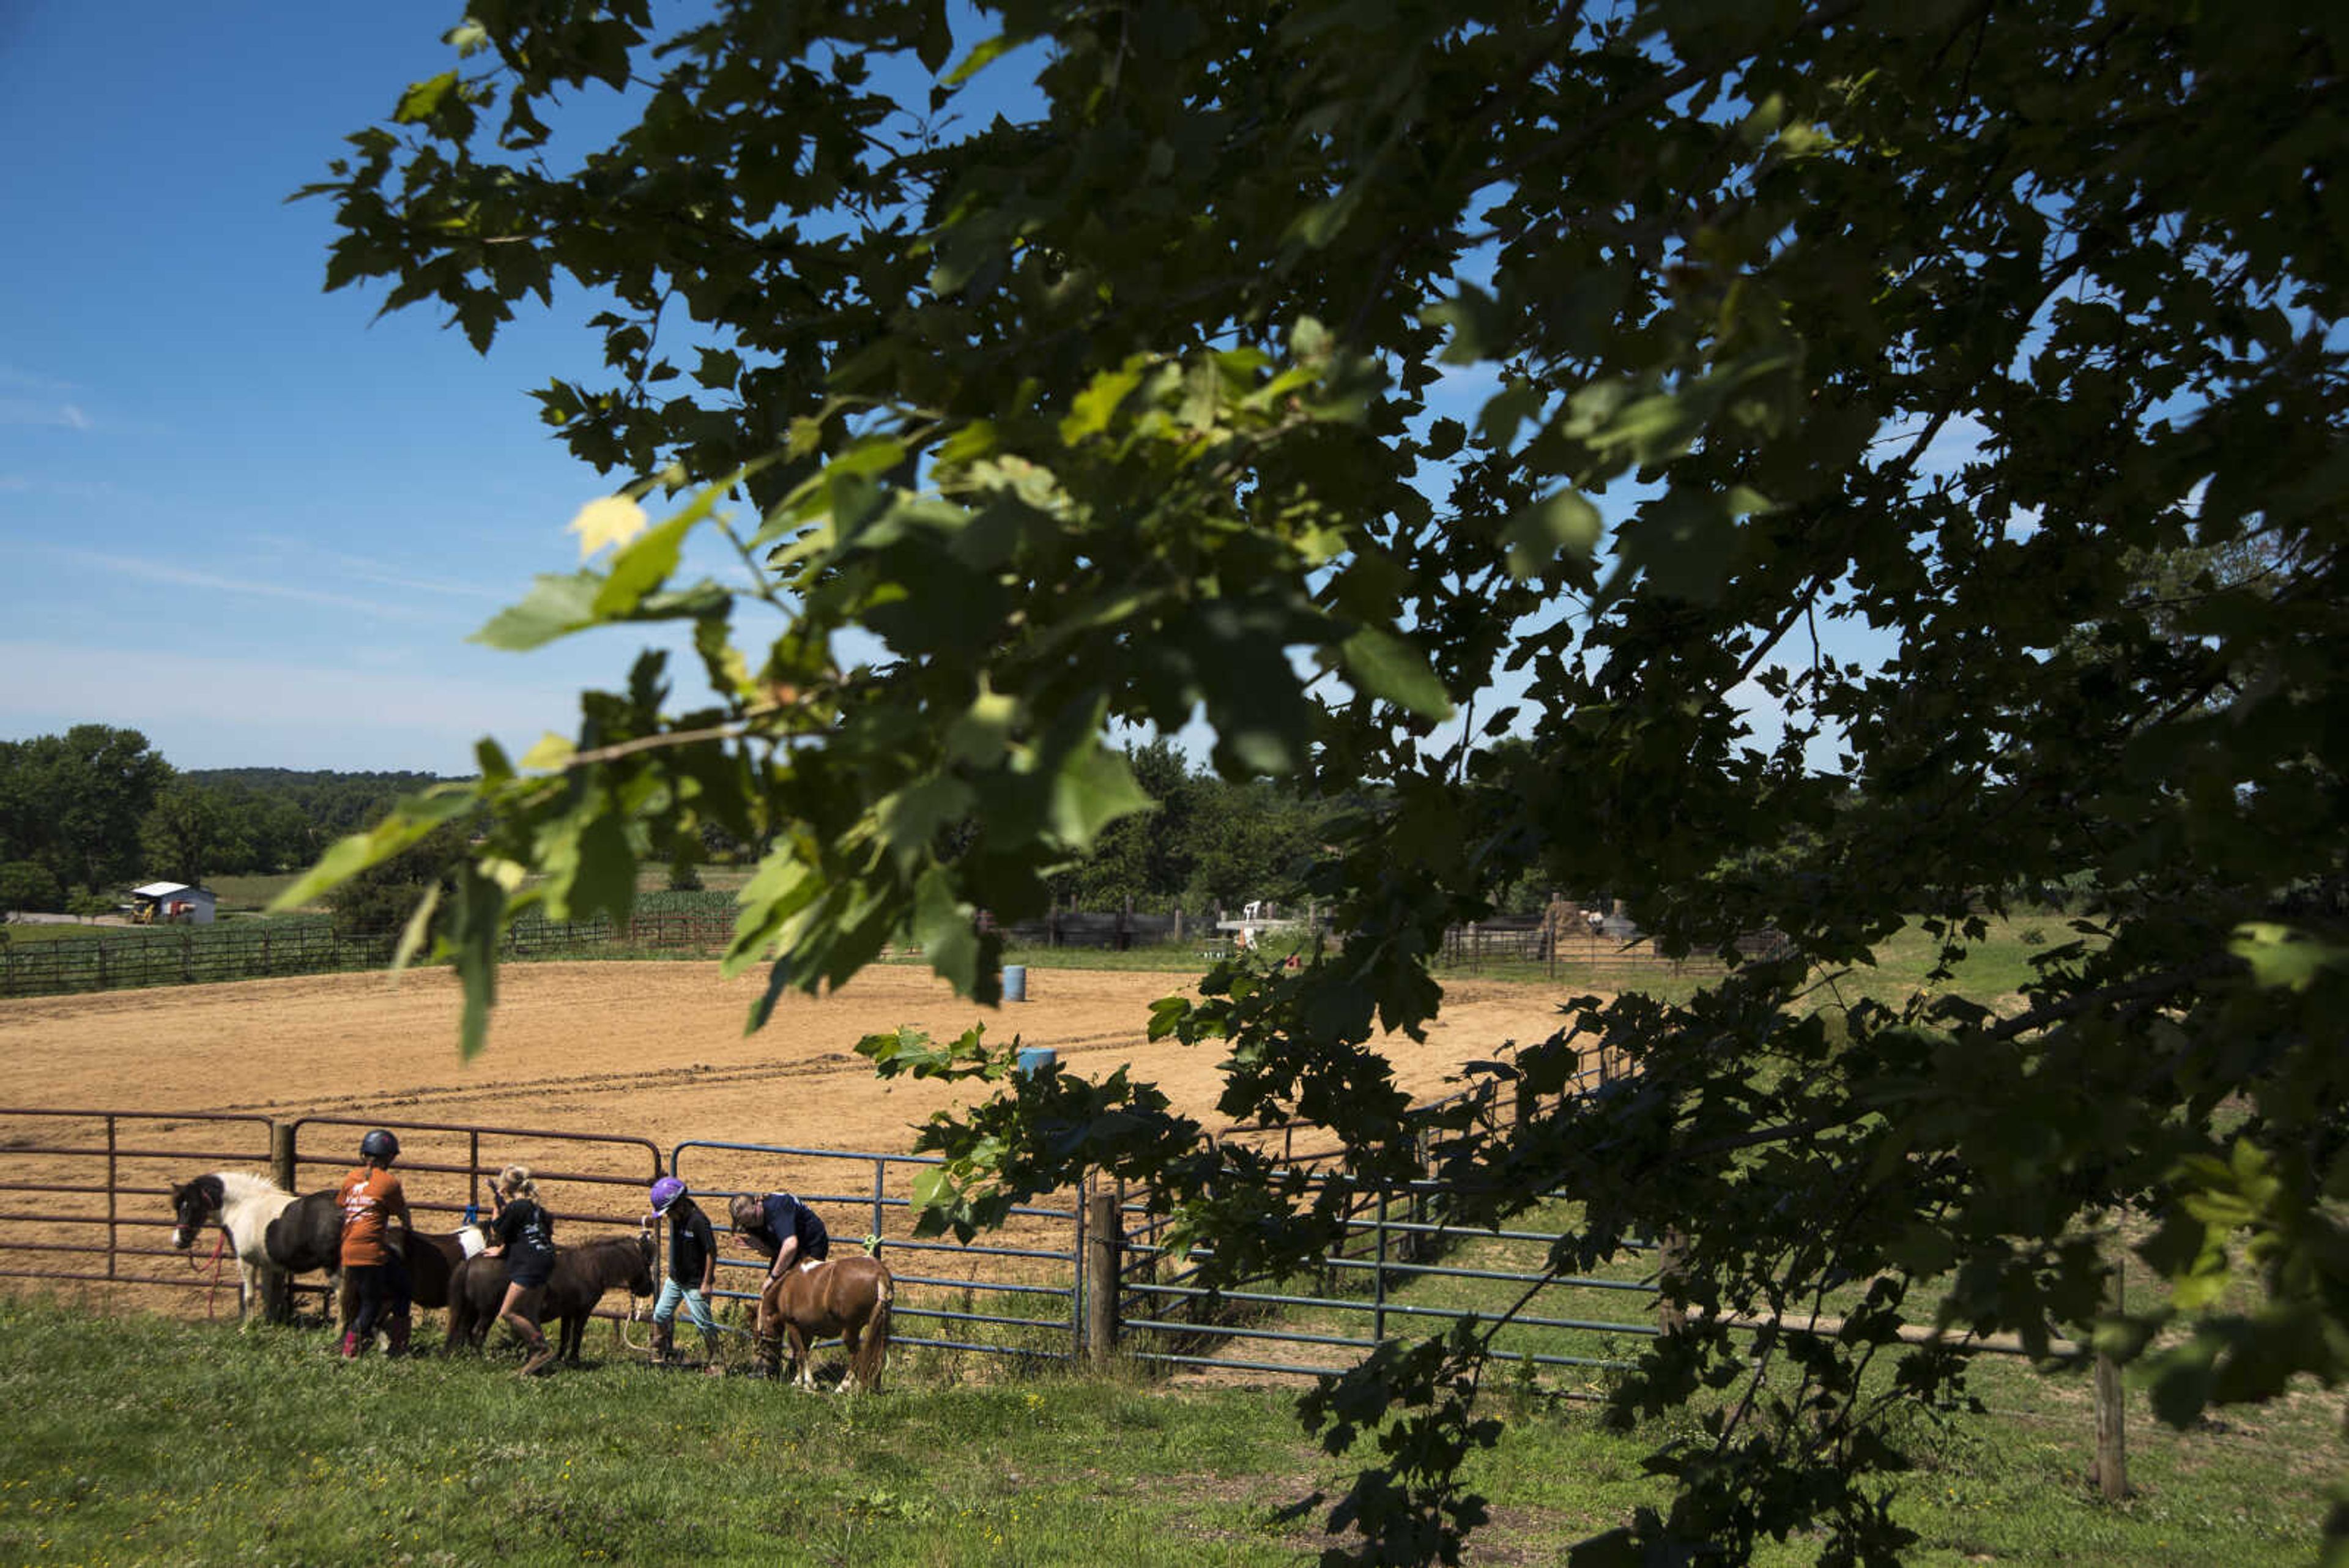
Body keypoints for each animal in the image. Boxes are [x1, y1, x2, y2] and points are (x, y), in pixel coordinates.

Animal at [168, 1170, 343, 1335]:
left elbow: (249, 1297)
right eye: (178, 1208)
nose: (179, 1241)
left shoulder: (247, 1261)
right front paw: (269, 1324)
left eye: (193, 1206)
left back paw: (337, 1333)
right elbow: (267, 1295)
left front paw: (247, 1328)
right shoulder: (266, 1265)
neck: (243, 1207)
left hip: (334, 1266)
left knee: (342, 1296)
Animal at [443, 1241, 653, 1363]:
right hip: (488, 1312)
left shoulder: (567, 1313)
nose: (650, 1288)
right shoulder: (582, 1312)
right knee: (477, 1333)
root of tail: (470, 1262)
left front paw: (560, 1359)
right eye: (646, 1264)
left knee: (464, 1331)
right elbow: (577, 1336)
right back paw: (482, 1360)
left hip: (471, 1310)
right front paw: (574, 1360)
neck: (589, 1268)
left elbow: (565, 1336)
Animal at [756, 1260, 892, 1391]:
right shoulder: (807, 1329)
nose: (768, 1374)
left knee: (857, 1355)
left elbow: (799, 1353)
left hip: (850, 1330)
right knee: (878, 1355)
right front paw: (805, 1382)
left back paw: (844, 1386)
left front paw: (804, 1382)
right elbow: (805, 1352)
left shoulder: (792, 1325)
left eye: (763, 1341)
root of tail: (880, 1273)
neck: (786, 1286)